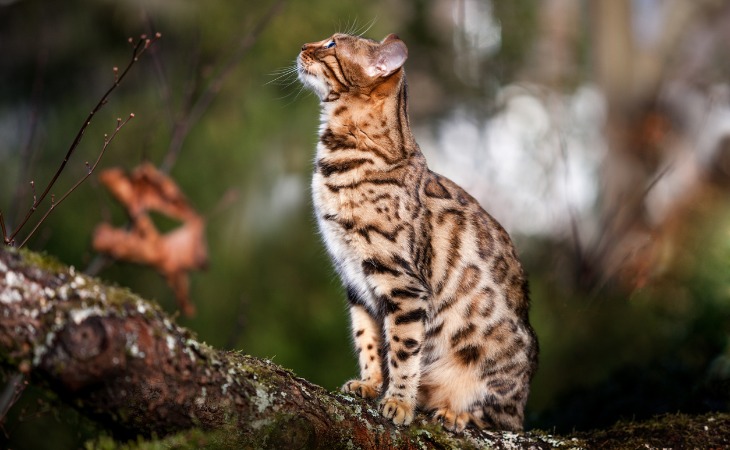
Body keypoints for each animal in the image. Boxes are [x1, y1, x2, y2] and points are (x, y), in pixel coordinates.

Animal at [294, 32, 536, 432]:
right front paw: (370, 384)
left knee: (502, 417)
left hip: (496, 363)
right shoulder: (355, 279)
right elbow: (368, 340)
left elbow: (403, 350)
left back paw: (456, 413)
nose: (303, 48)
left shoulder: (401, 282)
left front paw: (399, 402)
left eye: (331, 44)